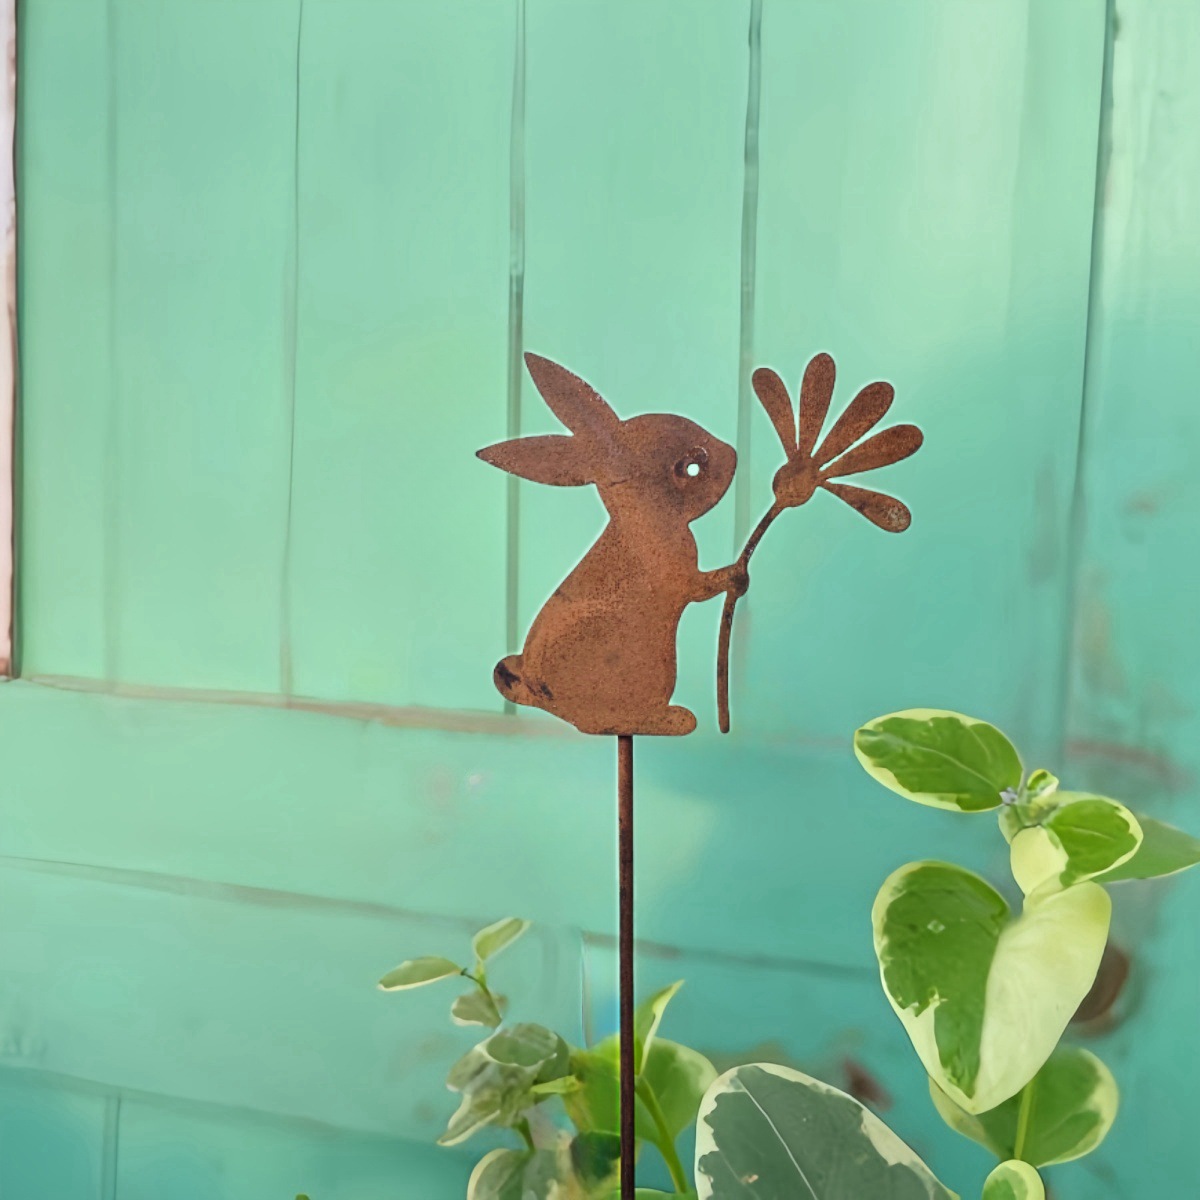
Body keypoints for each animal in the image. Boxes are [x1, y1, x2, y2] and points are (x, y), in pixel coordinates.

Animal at [476, 353, 747, 736]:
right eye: (692, 467)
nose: (733, 454)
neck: (645, 516)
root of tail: (536, 694)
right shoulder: (676, 570)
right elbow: (700, 586)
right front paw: (737, 575)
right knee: (597, 721)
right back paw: (672, 719)